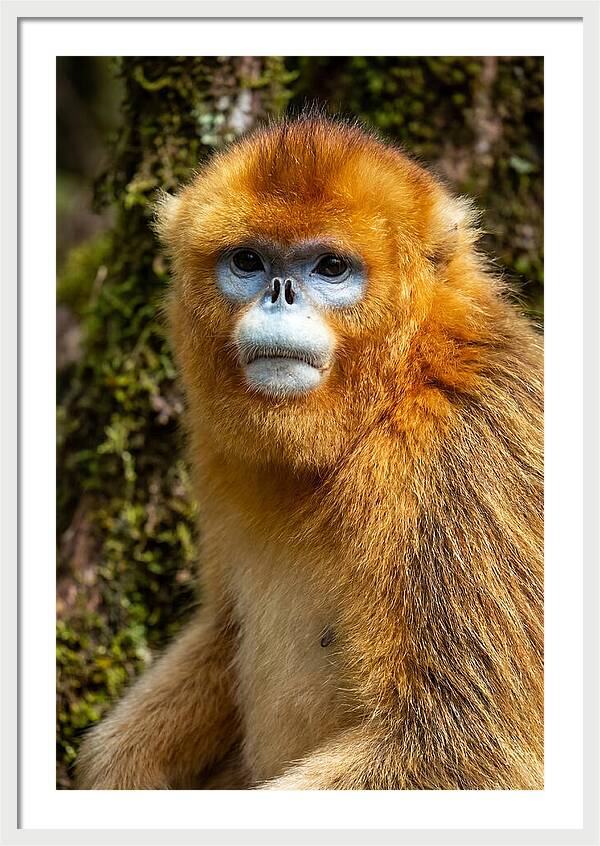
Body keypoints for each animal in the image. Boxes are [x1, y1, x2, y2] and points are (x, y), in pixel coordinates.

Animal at [76, 115, 543, 790]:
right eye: (248, 260)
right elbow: (222, 629)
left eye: (329, 267)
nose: (280, 292)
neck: (394, 394)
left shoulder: (466, 453)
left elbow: (465, 750)